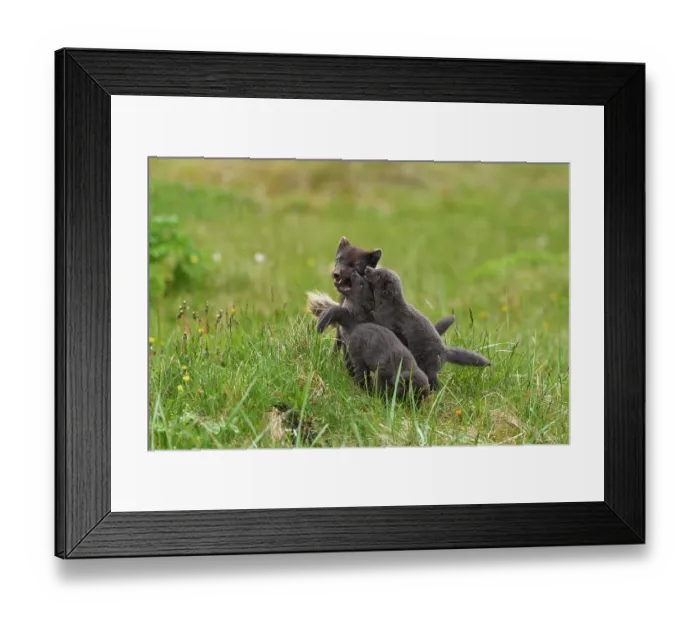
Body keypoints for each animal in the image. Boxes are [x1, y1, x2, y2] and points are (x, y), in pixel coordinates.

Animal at [317, 271, 429, 401]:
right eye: (415, 395)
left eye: (422, 399)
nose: (416, 405)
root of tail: (355, 326)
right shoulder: (381, 371)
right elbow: (379, 384)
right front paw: (382, 398)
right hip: (358, 356)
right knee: (359, 373)